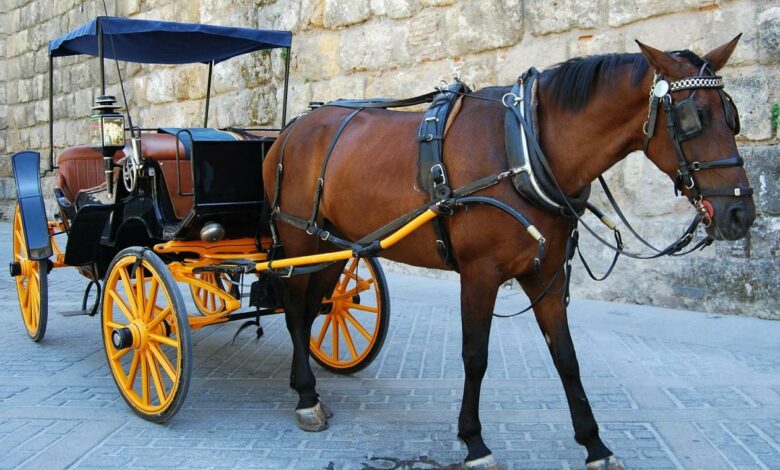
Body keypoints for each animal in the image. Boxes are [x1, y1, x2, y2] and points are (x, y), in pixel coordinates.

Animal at [261, 36, 754, 469]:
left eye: (733, 117)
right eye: (694, 118)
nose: (741, 213)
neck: (525, 151)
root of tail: (291, 129)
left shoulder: (547, 275)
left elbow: (567, 357)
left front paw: (595, 444)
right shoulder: (480, 274)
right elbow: (475, 357)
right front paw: (475, 442)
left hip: (334, 246)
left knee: (316, 308)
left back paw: (304, 387)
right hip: (300, 240)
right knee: (295, 310)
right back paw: (306, 396)